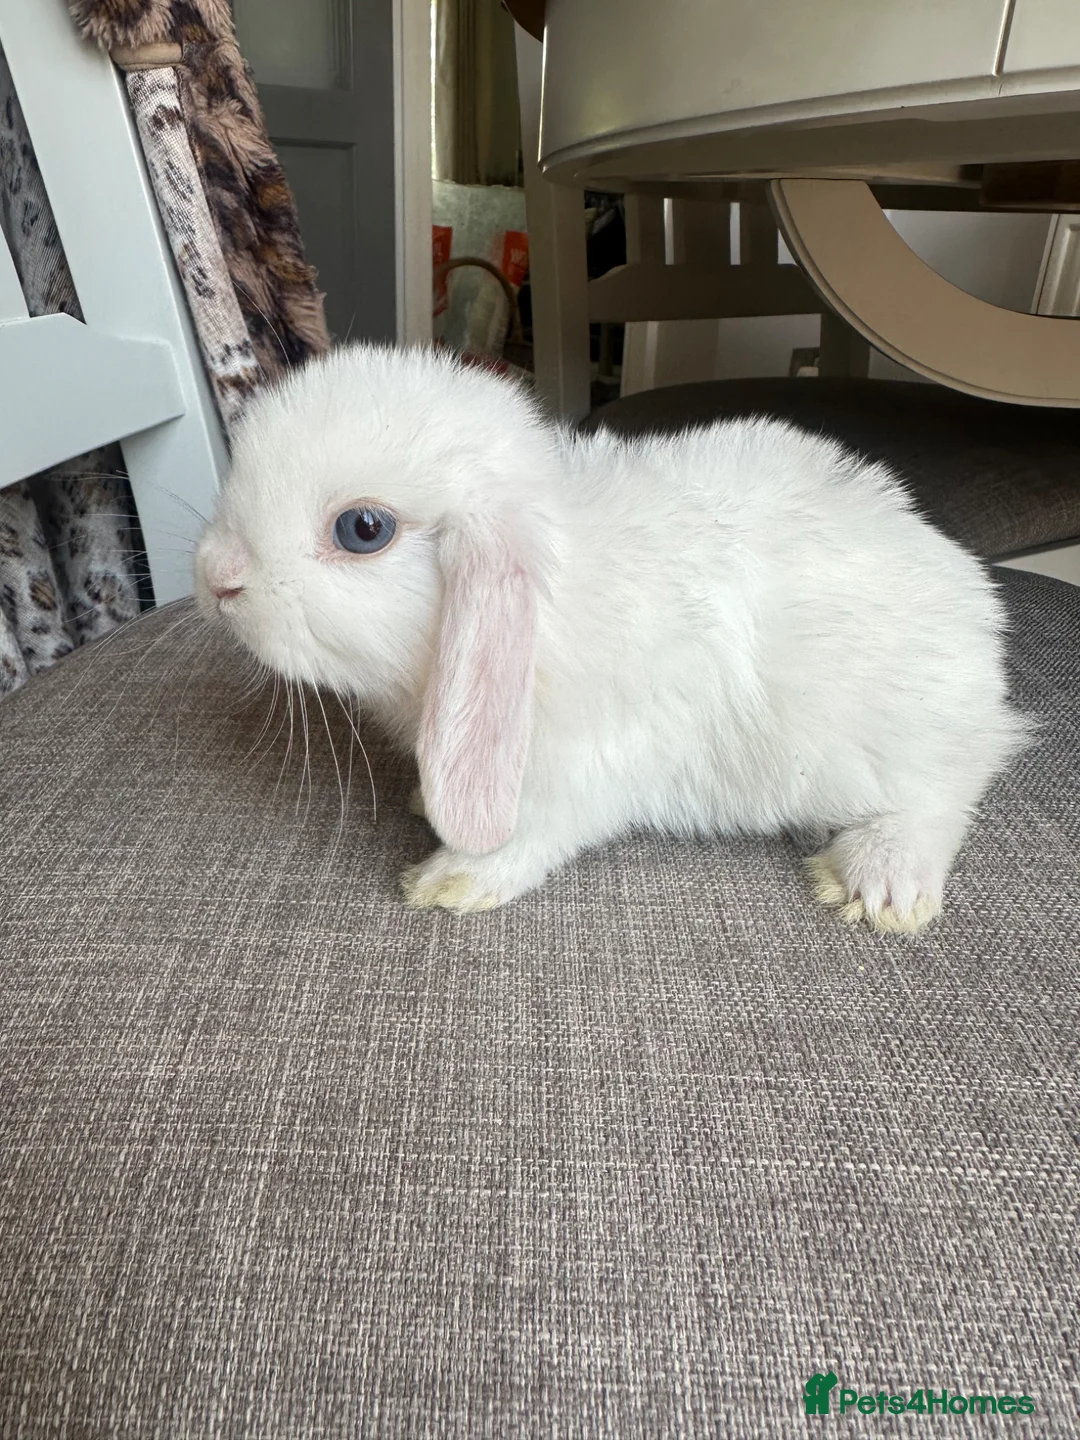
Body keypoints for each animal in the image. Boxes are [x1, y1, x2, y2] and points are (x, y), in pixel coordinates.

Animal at [194, 343, 1027, 932]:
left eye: (363, 529)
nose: (212, 575)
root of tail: (973, 607)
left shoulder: (578, 771)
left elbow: (532, 837)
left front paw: (448, 881)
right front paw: (423, 803)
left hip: (895, 739)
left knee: (947, 792)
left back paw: (880, 881)